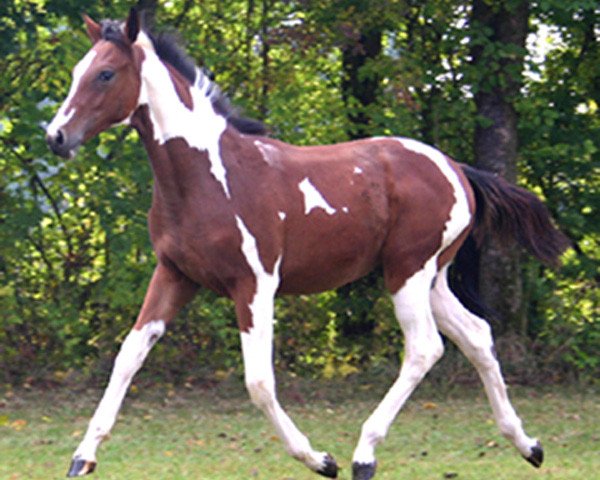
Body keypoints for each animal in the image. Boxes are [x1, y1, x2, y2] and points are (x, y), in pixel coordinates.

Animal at [45, 8, 568, 480]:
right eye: (76, 72)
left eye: (106, 74)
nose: (56, 136)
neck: (208, 176)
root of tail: (456, 168)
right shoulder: (175, 275)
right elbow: (128, 357)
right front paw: (81, 458)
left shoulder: (254, 284)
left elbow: (258, 381)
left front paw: (320, 459)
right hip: (432, 275)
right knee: (476, 334)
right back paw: (528, 445)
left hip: (407, 271)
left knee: (425, 347)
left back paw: (364, 455)